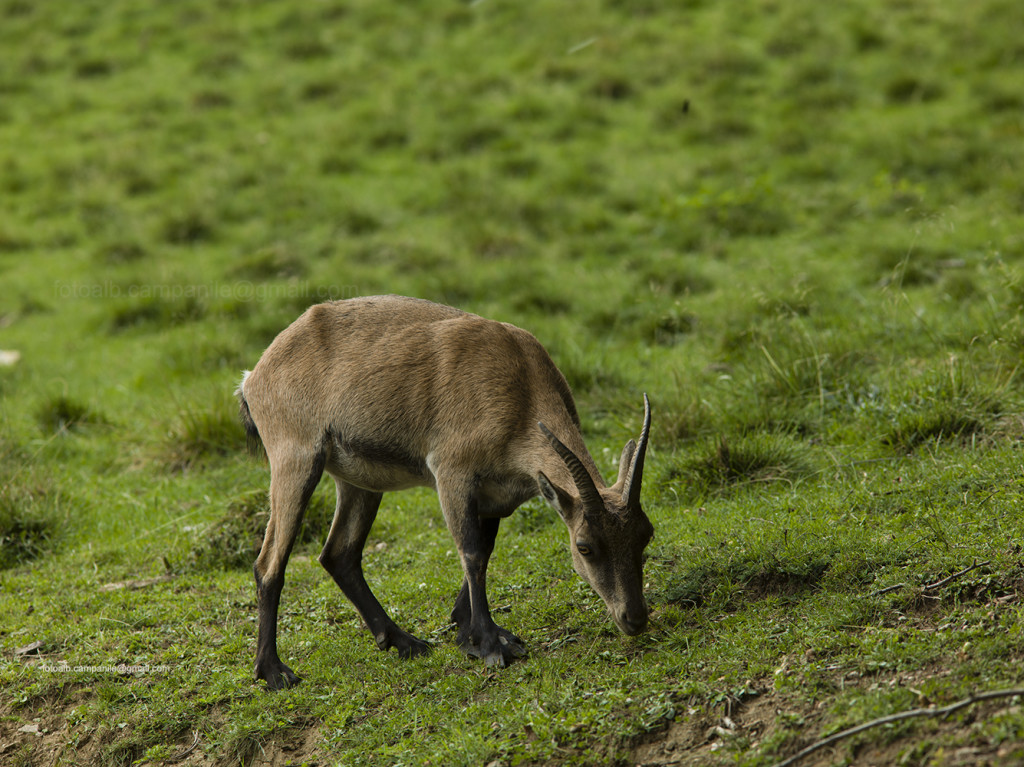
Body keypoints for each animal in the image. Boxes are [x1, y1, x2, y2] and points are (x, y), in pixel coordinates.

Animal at [235, 292, 651, 688]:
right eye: (585, 546)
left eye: (646, 535)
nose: (634, 619)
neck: (520, 387)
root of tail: (254, 376)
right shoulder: (452, 473)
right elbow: (471, 552)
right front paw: (489, 644)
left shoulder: (494, 497)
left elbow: (485, 550)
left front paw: (468, 633)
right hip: (296, 460)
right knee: (269, 564)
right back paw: (273, 671)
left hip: (357, 480)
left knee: (339, 554)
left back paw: (403, 641)